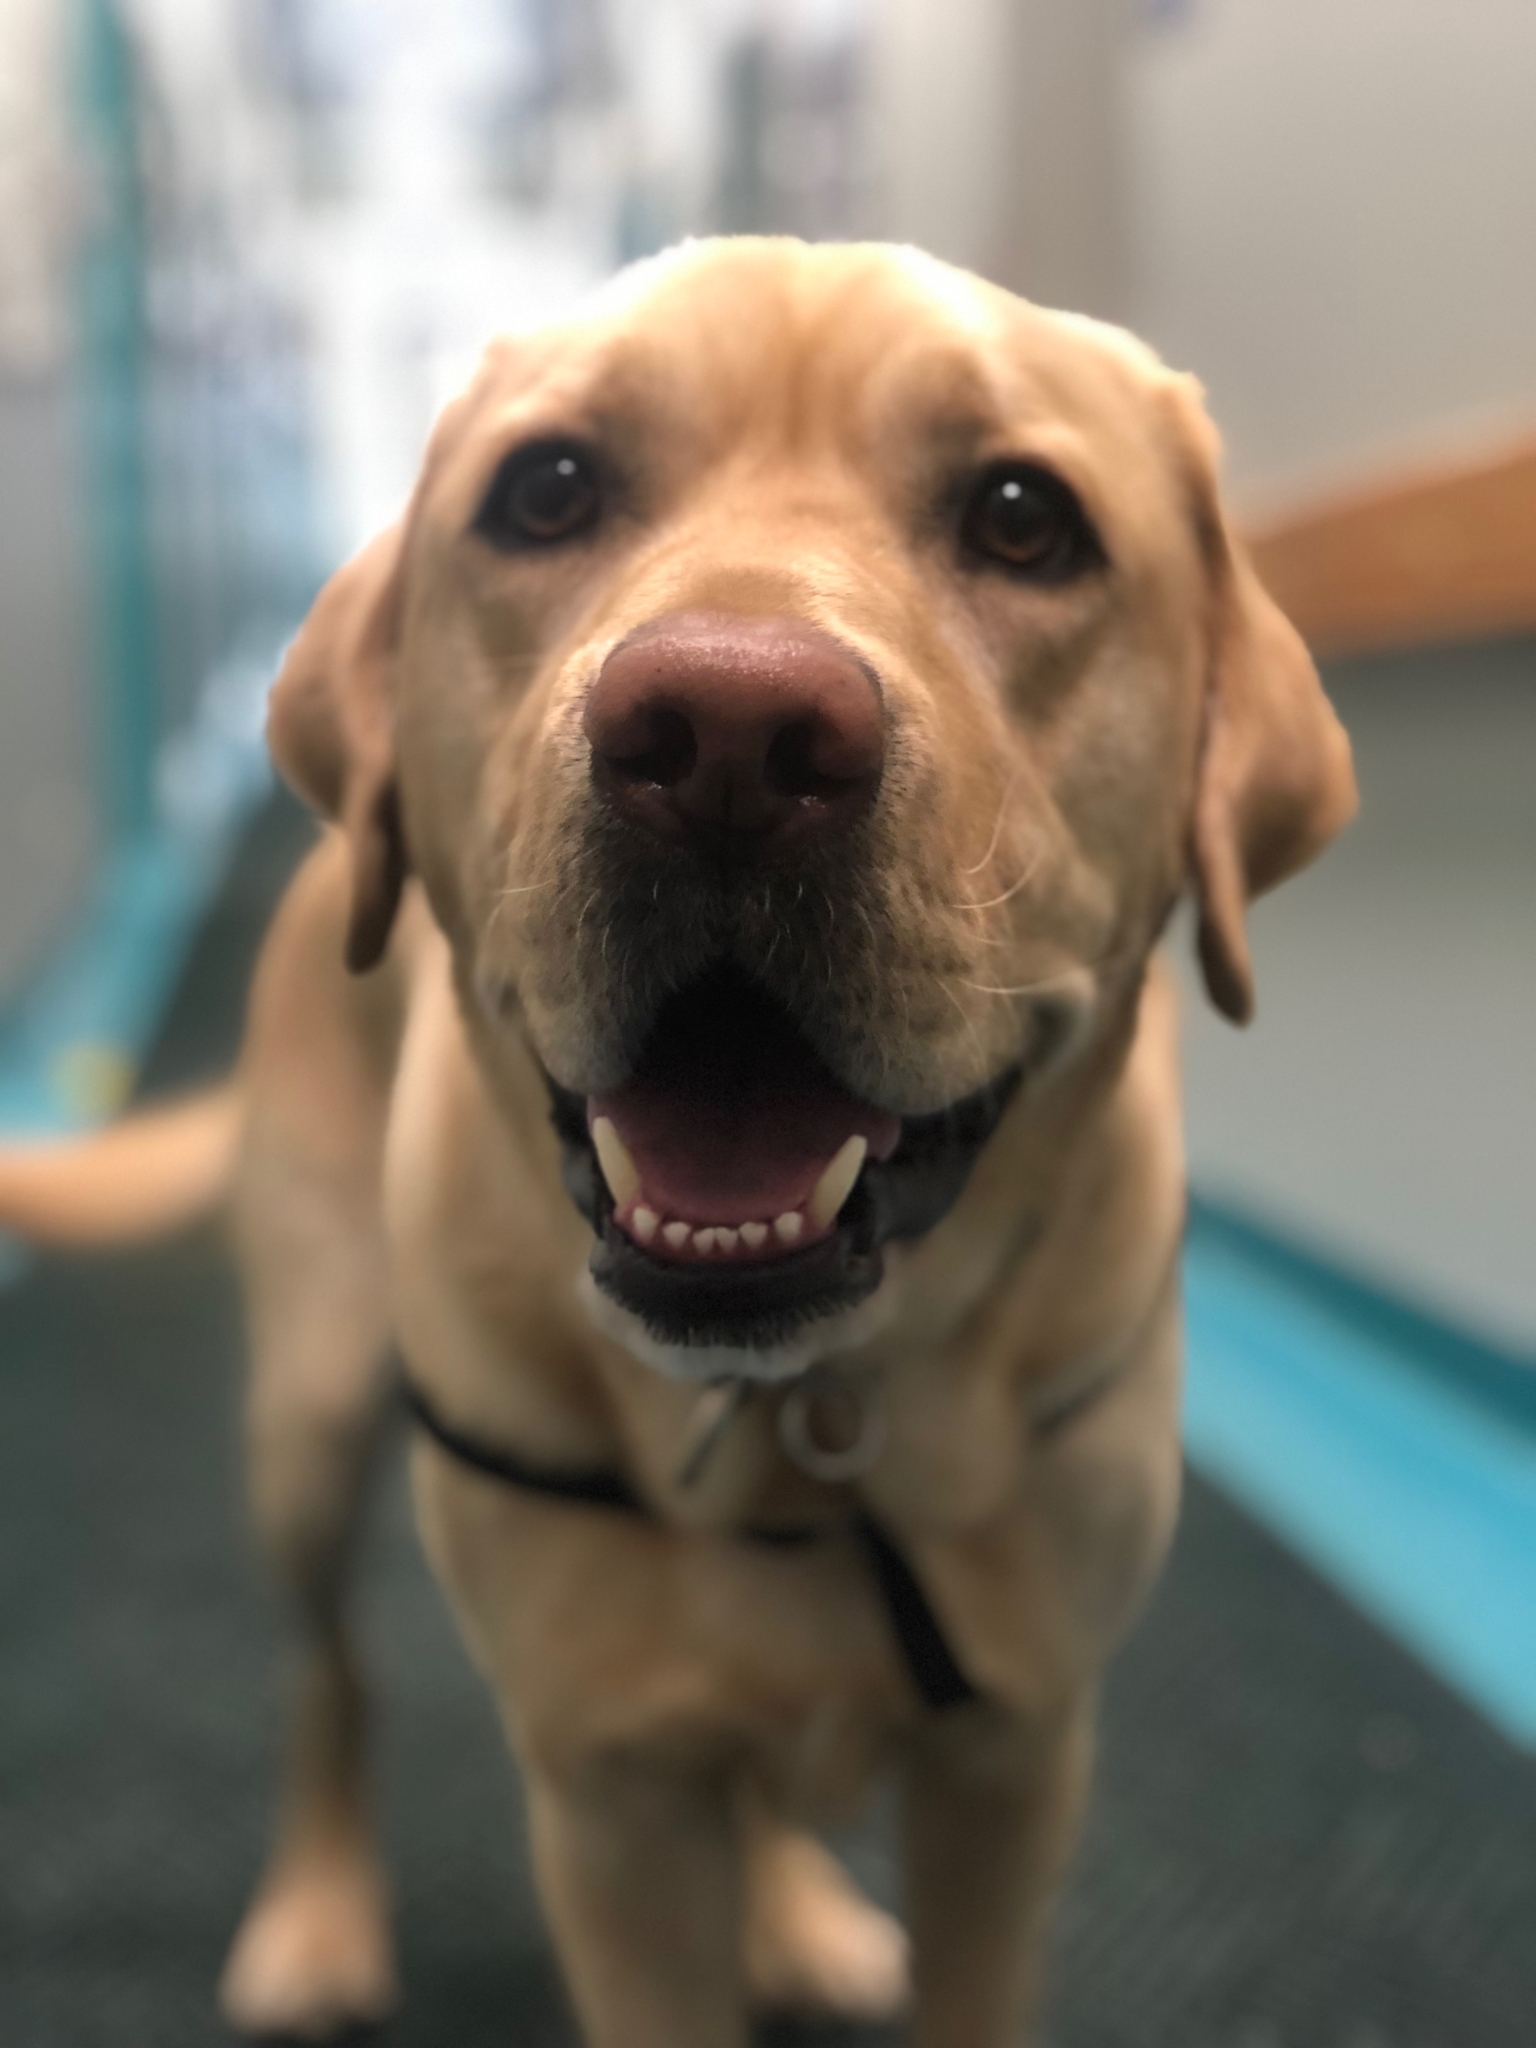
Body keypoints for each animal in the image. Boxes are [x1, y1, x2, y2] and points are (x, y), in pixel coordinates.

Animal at [0, 235, 1351, 2031]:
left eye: (1022, 518)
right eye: (548, 490)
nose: (725, 737)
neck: (812, 1410)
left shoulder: (1013, 1762)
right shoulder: (611, 1806)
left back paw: (793, 1916)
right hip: (306, 1416)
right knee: (328, 1677)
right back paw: (316, 1913)